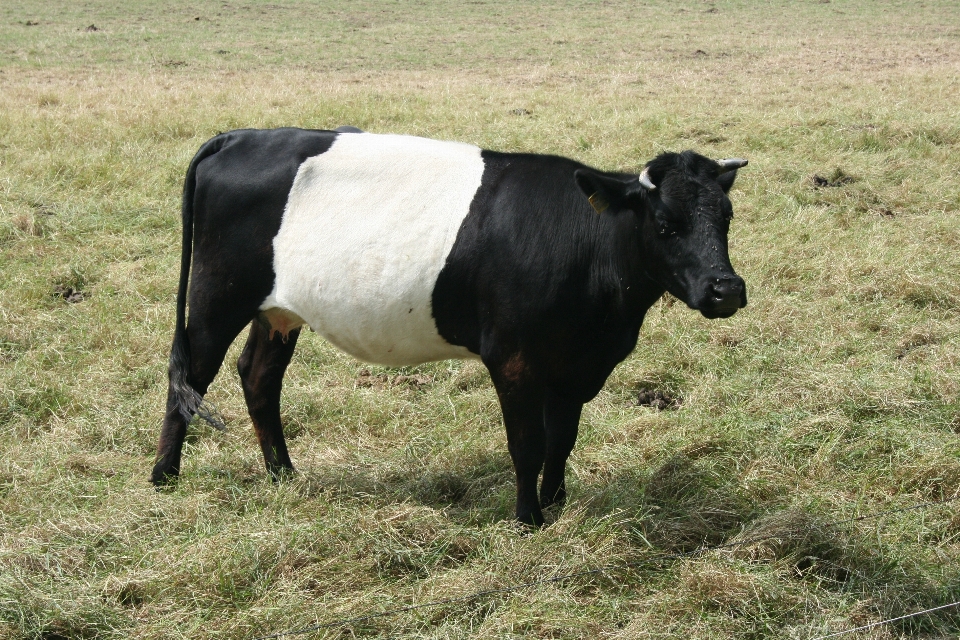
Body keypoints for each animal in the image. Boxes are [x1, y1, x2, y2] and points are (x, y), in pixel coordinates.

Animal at [152, 127, 752, 528]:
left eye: (726, 217)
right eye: (665, 223)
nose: (726, 290)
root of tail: (240, 135)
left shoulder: (575, 364)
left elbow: (561, 441)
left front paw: (556, 505)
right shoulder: (513, 356)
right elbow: (527, 443)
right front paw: (529, 520)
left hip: (277, 311)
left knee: (258, 377)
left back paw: (283, 474)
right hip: (216, 299)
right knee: (190, 377)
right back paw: (164, 477)